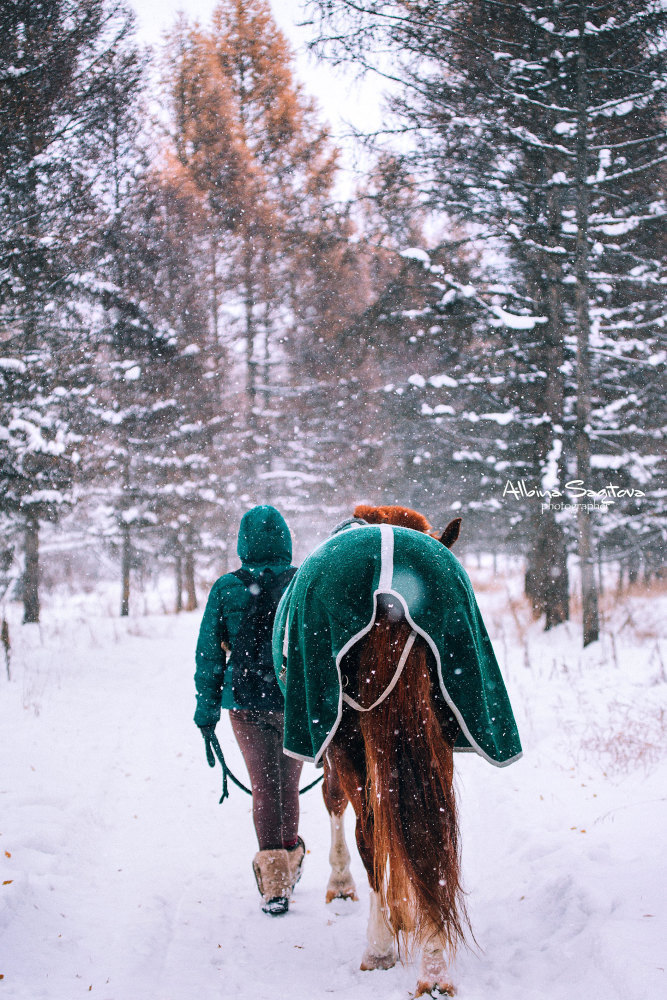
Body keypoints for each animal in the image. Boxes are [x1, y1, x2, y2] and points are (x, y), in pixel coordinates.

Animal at [274, 508, 524, 1000]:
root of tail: (390, 592)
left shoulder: (333, 748)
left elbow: (337, 806)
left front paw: (344, 887)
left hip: (347, 742)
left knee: (369, 831)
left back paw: (379, 947)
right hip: (435, 733)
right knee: (431, 834)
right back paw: (434, 964)